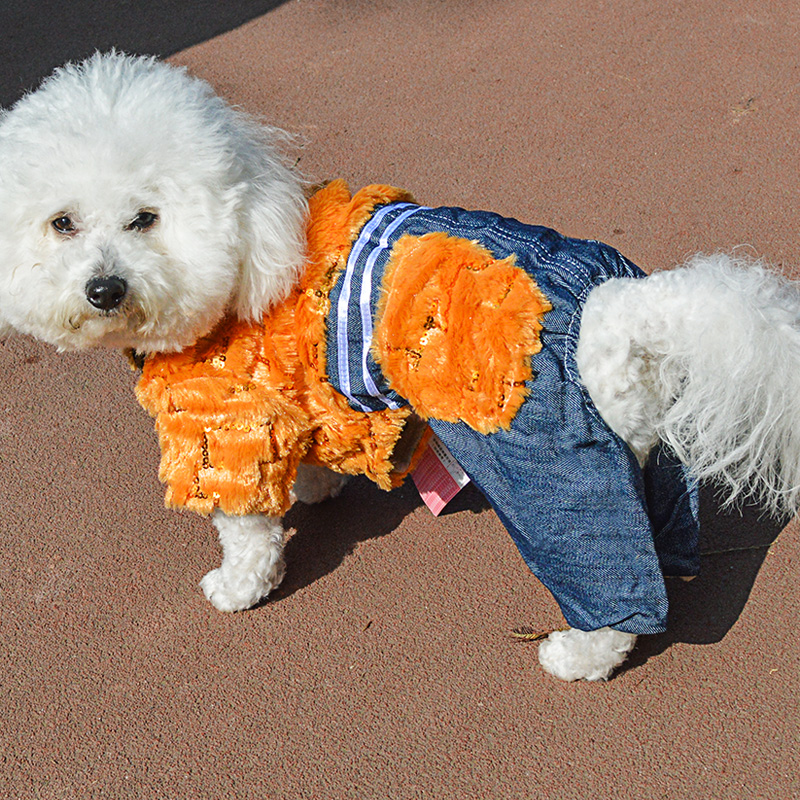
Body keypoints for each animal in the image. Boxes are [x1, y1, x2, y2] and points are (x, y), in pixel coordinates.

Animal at [3, 53, 796, 680]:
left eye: (146, 218)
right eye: (62, 223)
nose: (104, 288)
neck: (250, 249)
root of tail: (615, 303)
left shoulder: (224, 418)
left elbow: (245, 525)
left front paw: (239, 586)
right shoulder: (295, 398)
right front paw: (317, 486)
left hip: (547, 464)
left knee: (605, 575)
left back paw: (579, 655)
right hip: (639, 453)